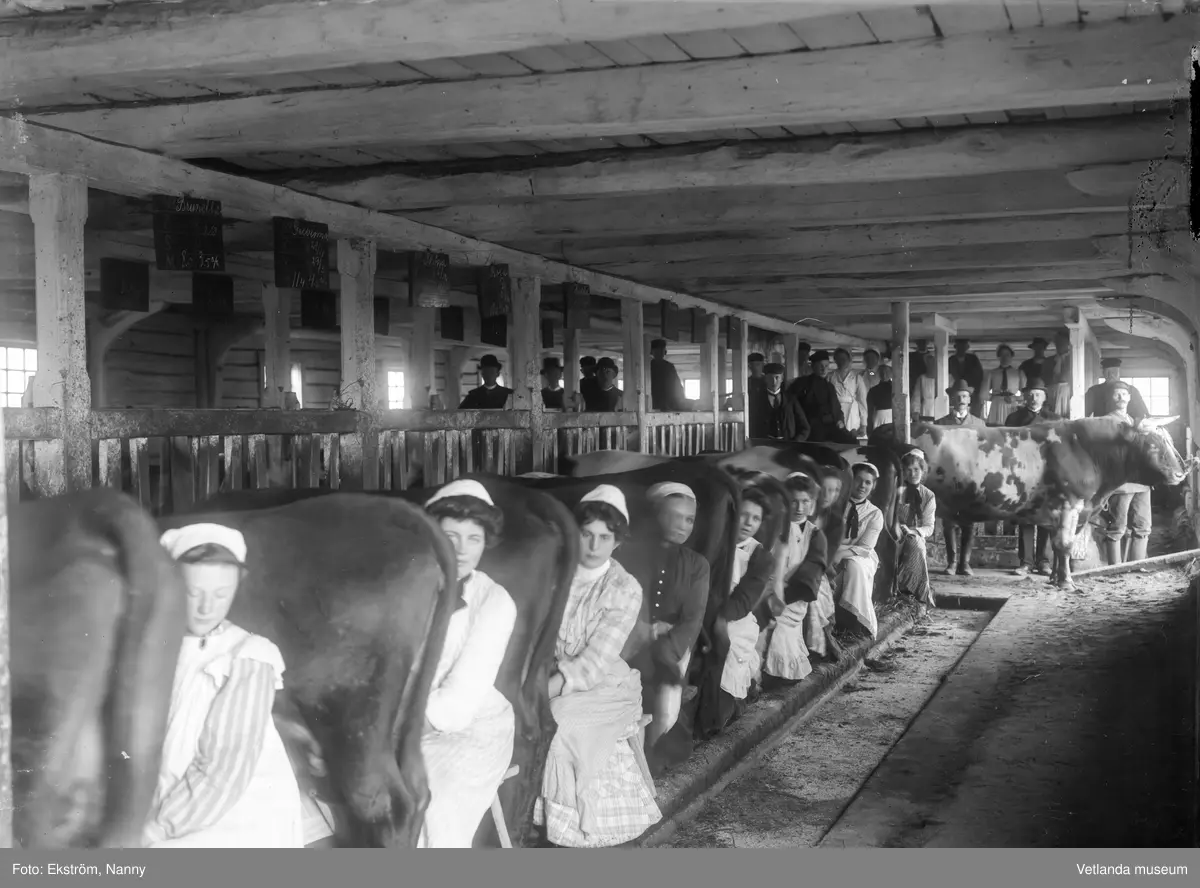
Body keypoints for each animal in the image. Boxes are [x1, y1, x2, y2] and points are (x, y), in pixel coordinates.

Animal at [870, 418, 1190, 590]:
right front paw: (1066, 583)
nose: (1181, 472)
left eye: (1168, 440)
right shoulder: (1069, 505)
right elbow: (1064, 545)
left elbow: (1055, 547)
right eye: (1153, 444)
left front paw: (1054, 578)